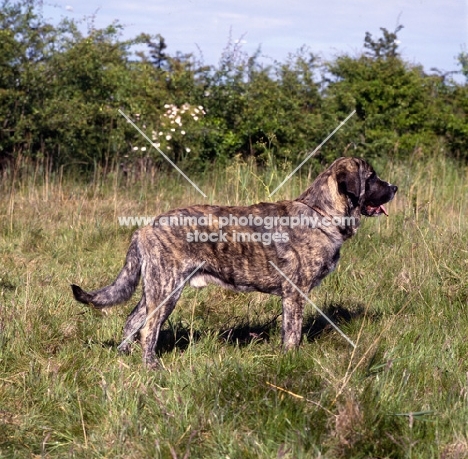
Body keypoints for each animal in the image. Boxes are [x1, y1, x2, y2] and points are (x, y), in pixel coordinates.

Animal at [72, 157, 398, 366]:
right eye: (371, 177)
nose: (394, 188)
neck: (321, 213)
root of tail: (145, 228)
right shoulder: (295, 294)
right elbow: (293, 333)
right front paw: (292, 360)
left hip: (155, 291)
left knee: (132, 321)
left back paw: (124, 357)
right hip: (166, 291)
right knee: (147, 329)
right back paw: (150, 365)